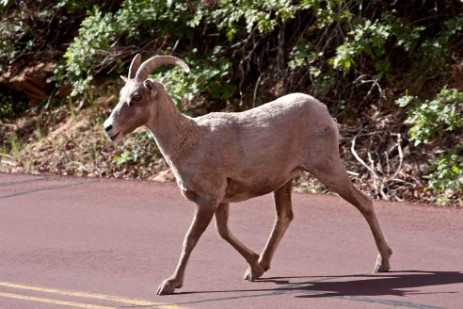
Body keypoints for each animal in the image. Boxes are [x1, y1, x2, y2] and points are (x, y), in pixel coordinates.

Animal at [104, 54, 392, 294]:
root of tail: (324, 112)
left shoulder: (208, 199)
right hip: (285, 181)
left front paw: (169, 284)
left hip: (328, 169)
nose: (109, 128)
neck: (188, 141)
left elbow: (191, 239)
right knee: (284, 217)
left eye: (137, 97)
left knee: (364, 203)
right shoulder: (220, 201)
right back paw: (261, 266)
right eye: (121, 94)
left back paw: (383, 262)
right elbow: (223, 232)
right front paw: (255, 267)